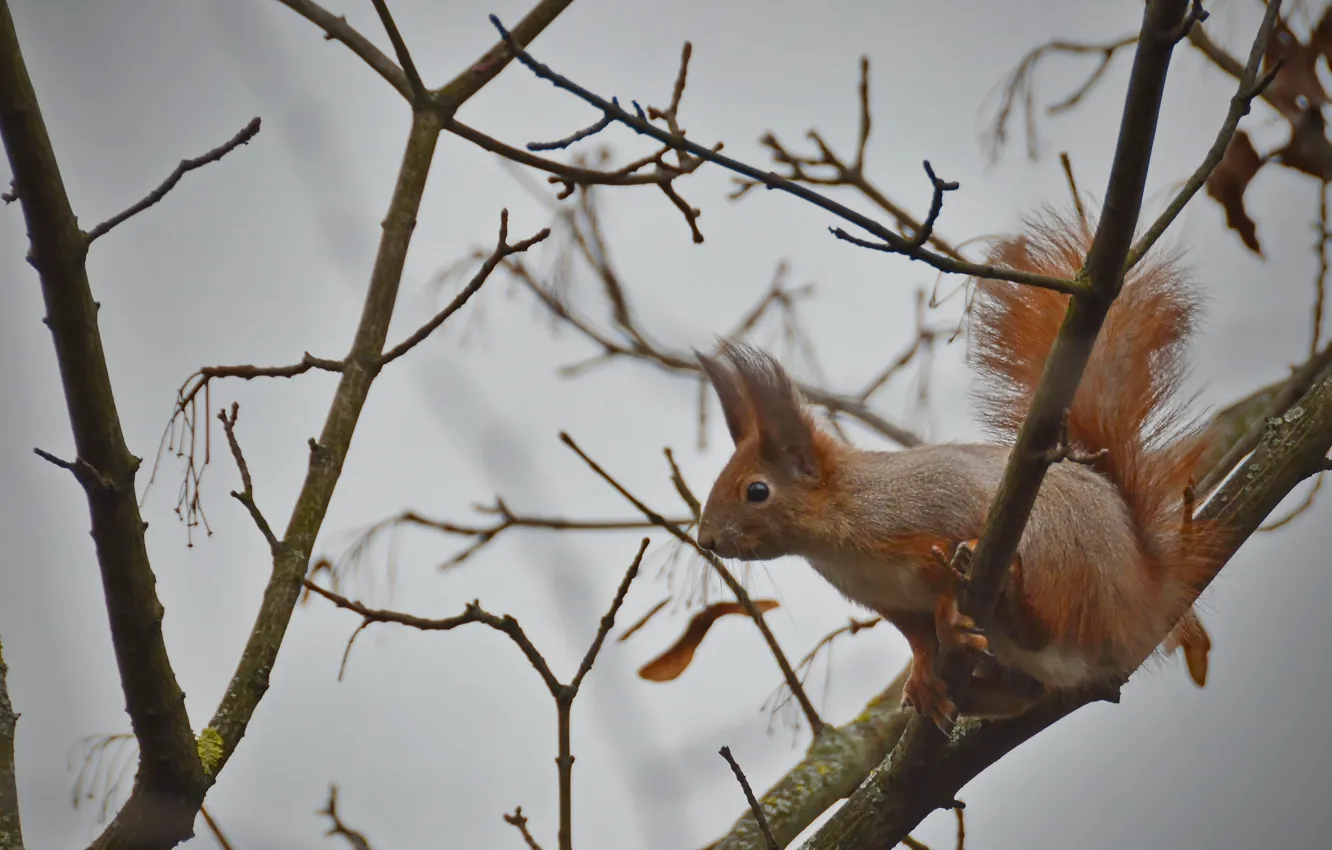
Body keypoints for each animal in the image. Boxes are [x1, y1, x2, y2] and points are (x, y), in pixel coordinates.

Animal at [697, 213, 1220, 735]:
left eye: (757, 491)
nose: (706, 541)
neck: (842, 526)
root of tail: (1142, 599)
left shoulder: (937, 503)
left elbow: (951, 555)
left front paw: (951, 612)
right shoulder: (893, 605)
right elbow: (918, 641)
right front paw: (922, 678)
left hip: (1060, 554)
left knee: (1045, 625)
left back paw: (1010, 596)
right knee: (1026, 689)